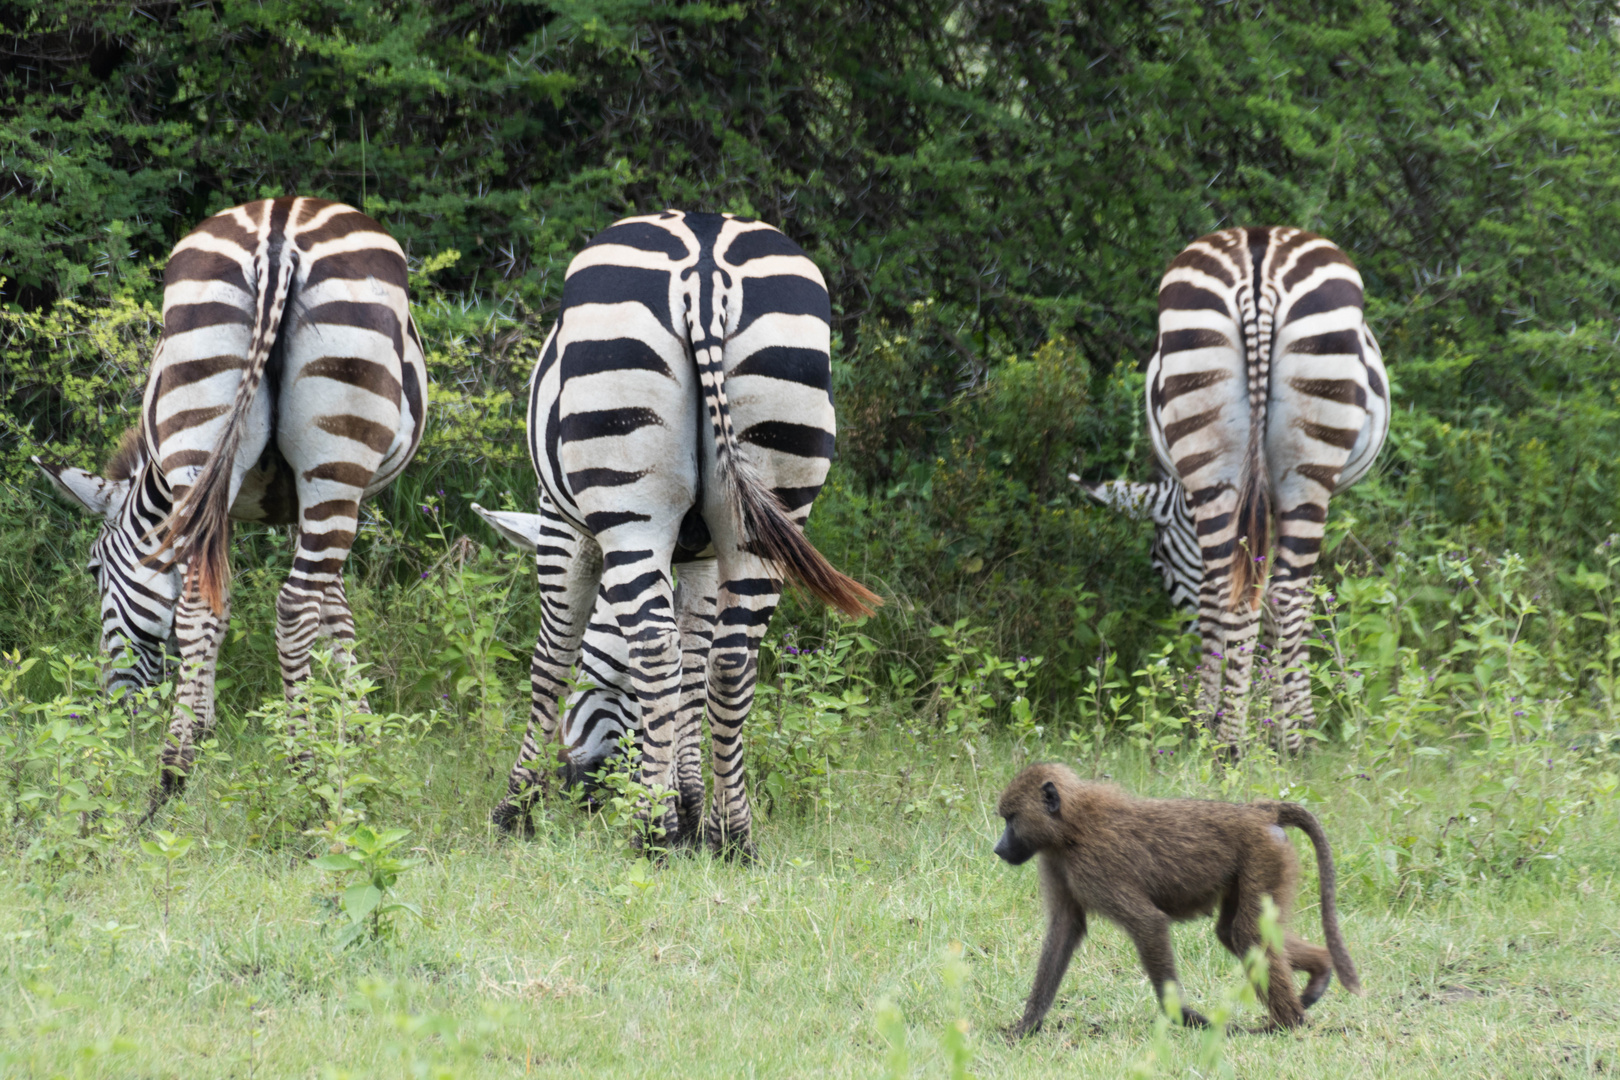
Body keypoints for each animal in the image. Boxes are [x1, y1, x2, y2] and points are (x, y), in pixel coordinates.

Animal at [38, 196, 430, 803]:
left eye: (94, 571)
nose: (115, 708)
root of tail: (278, 230)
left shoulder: (211, 505)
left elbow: (230, 610)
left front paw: (206, 727)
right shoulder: (300, 499)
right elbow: (331, 609)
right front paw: (359, 730)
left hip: (207, 424)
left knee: (203, 607)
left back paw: (175, 770)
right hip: (334, 463)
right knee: (294, 605)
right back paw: (303, 767)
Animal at [489, 208, 881, 854]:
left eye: (607, 674)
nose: (584, 791)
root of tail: (705, 259)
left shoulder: (560, 523)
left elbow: (553, 659)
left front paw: (516, 810)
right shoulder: (701, 555)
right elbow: (693, 671)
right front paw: (693, 809)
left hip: (629, 493)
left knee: (655, 645)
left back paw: (648, 834)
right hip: (770, 493)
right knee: (732, 660)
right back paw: (732, 836)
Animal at [1075, 228, 1393, 751]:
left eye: (1158, 561)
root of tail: (1257, 264)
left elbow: (1225, 596)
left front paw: (1222, 714)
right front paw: (1277, 716)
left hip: (1211, 435)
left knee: (1231, 590)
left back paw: (1225, 740)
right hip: (1306, 465)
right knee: (1284, 594)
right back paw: (1291, 739)